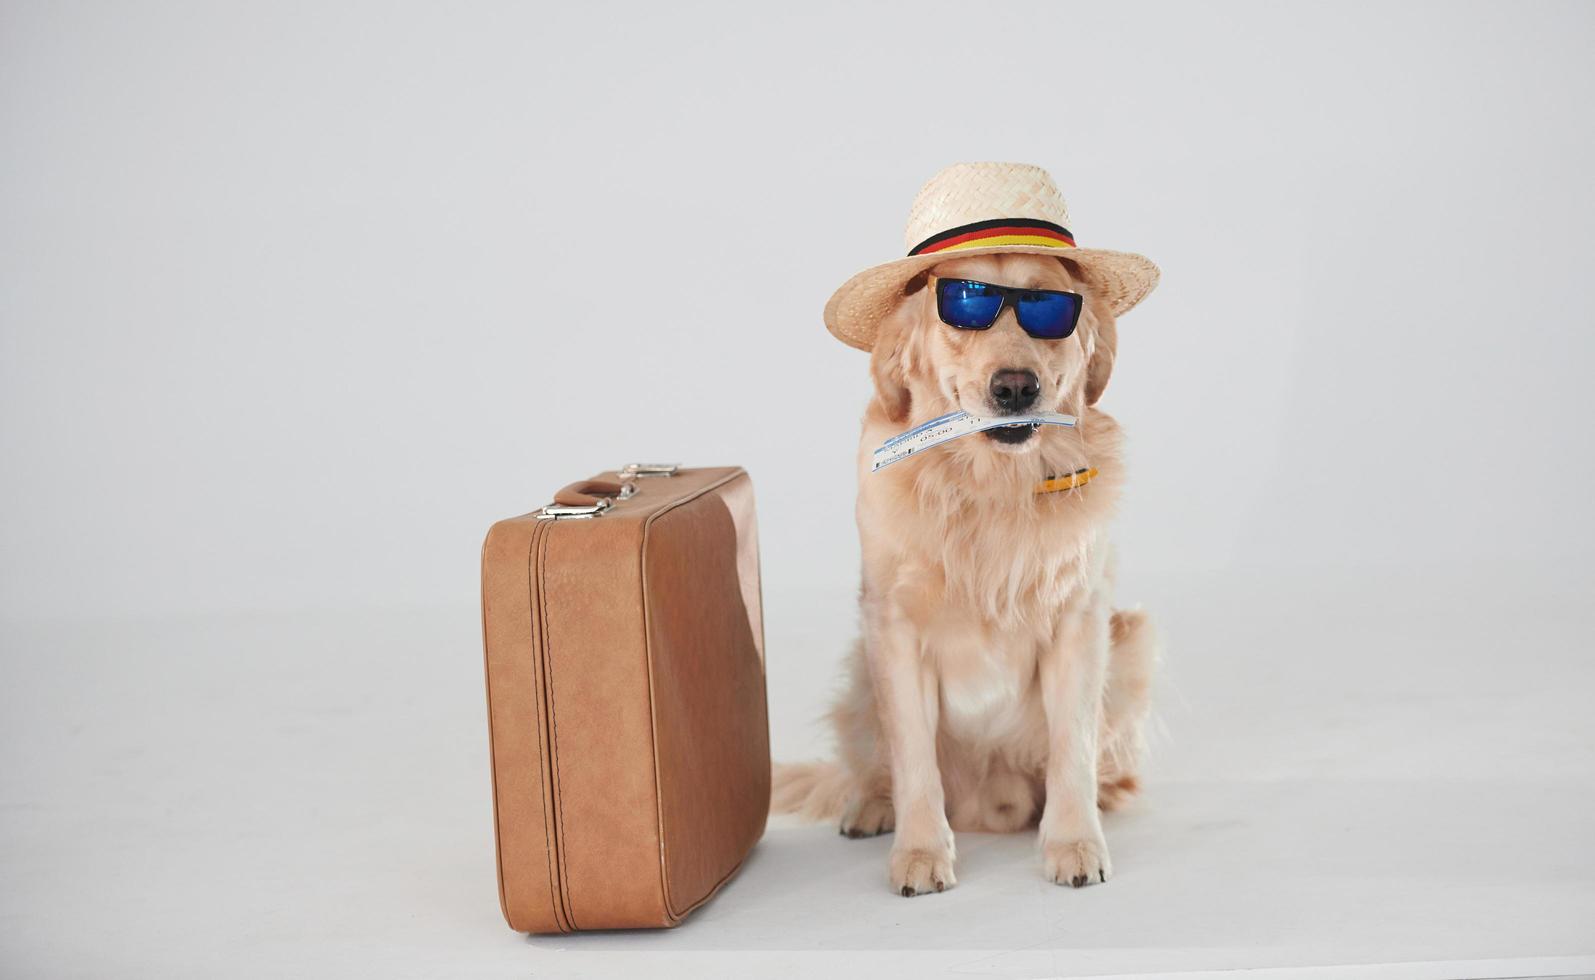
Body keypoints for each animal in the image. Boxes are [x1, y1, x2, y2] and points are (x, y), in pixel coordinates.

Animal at [765, 252, 1154, 900]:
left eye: (1048, 305)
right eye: (965, 306)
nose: (1016, 387)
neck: (989, 487)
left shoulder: (1080, 620)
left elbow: (1072, 746)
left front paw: (1075, 843)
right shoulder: (894, 628)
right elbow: (913, 759)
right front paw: (921, 853)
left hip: (1131, 639)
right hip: (861, 667)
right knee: (876, 769)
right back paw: (870, 807)